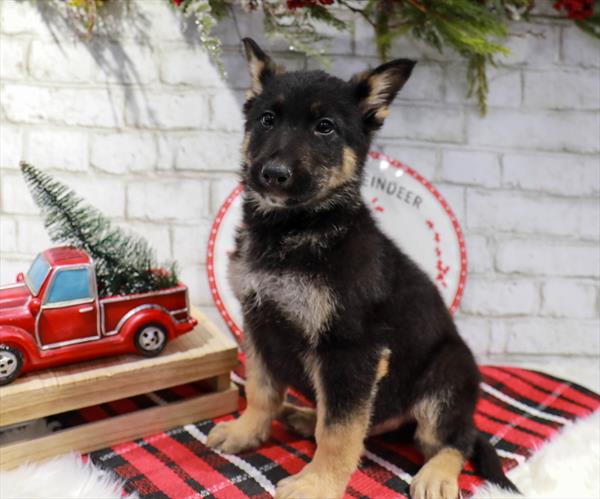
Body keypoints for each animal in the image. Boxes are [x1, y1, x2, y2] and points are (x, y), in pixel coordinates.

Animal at [206, 36, 516, 499]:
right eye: (267, 119)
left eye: (325, 127)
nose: (273, 175)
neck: (295, 230)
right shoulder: (258, 324)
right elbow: (263, 390)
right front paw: (246, 431)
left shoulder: (352, 350)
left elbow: (339, 430)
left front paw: (318, 483)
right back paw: (303, 416)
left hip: (445, 380)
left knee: (454, 438)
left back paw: (437, 474)